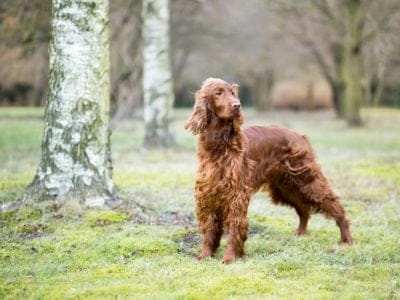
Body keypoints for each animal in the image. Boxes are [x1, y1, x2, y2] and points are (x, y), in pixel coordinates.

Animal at [185, 77, 354, 262]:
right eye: (218, 93)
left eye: (233, 93)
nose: (237, 105)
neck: (219, 143)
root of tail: (300, 136)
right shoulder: (208, 193)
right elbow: (209, 228)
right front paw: (206, 255)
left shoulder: (236, 194)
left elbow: (235, 226)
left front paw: (230, 257)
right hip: (285, 187)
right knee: (303, 209)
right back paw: (301, 233)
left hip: (309, 181)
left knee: (335, 206)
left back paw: (347, 239)